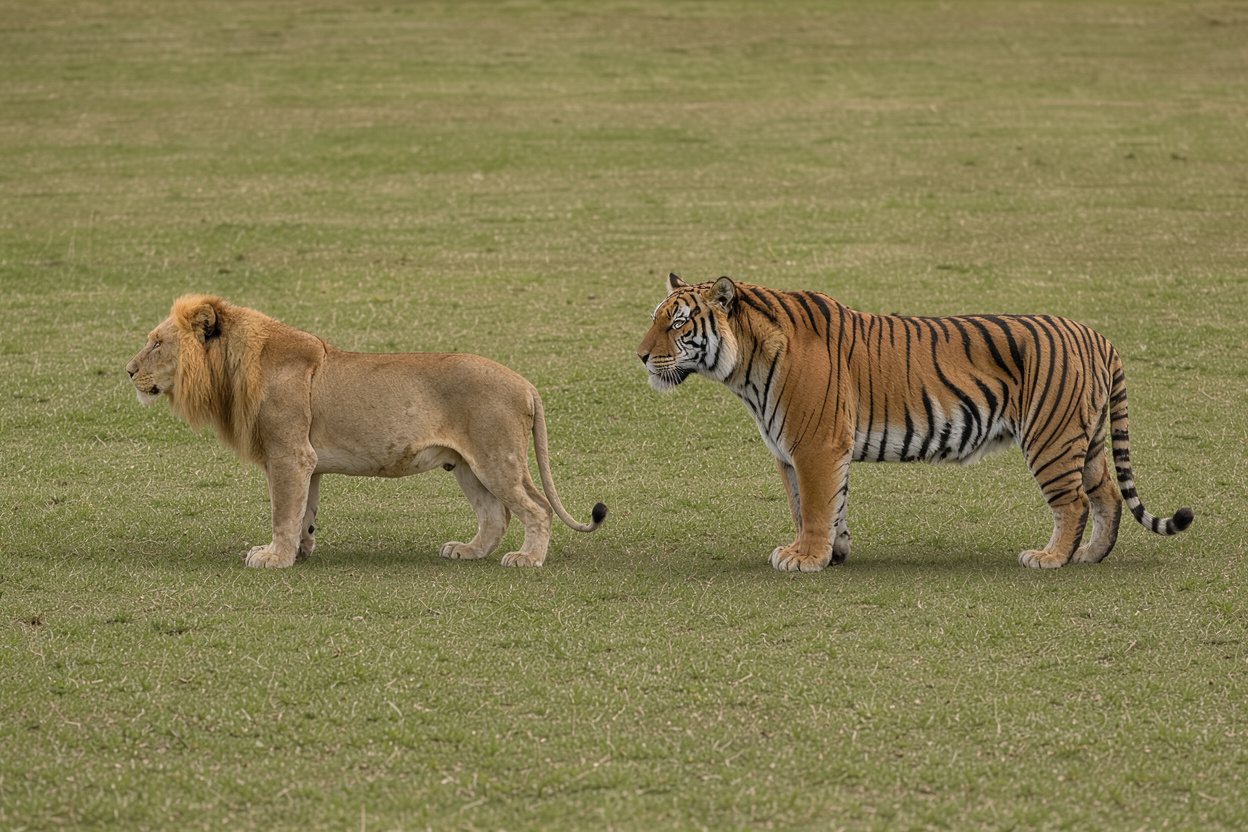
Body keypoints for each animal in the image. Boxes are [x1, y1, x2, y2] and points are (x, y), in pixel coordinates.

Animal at [126, 294, 607, 568]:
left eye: (157, 343)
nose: (128, 370)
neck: (233, 365)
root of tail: (525, 383)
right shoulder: (308, 462)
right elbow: (303, 513)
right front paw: (299, 552)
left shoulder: (288, 454)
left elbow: (282, 512)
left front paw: (273, 558)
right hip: (468, 464)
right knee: (495, 515)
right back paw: (468, 552)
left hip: (496, 458)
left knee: (536, 508)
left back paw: (527, 559)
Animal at [636, 273, 1194, 572]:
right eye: (655, 318)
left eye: (678, 323)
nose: (640, 355)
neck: (745, 369)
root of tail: (1098, 335)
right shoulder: (793, 452)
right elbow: (815, 506)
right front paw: (829, 551)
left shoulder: (815, 446)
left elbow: (814, 506)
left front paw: (808, 558)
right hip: (1086, 440)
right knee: (1108, 495)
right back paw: (1091, 555)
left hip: (1051, 440)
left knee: (1074, 501)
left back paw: (1051, 557)